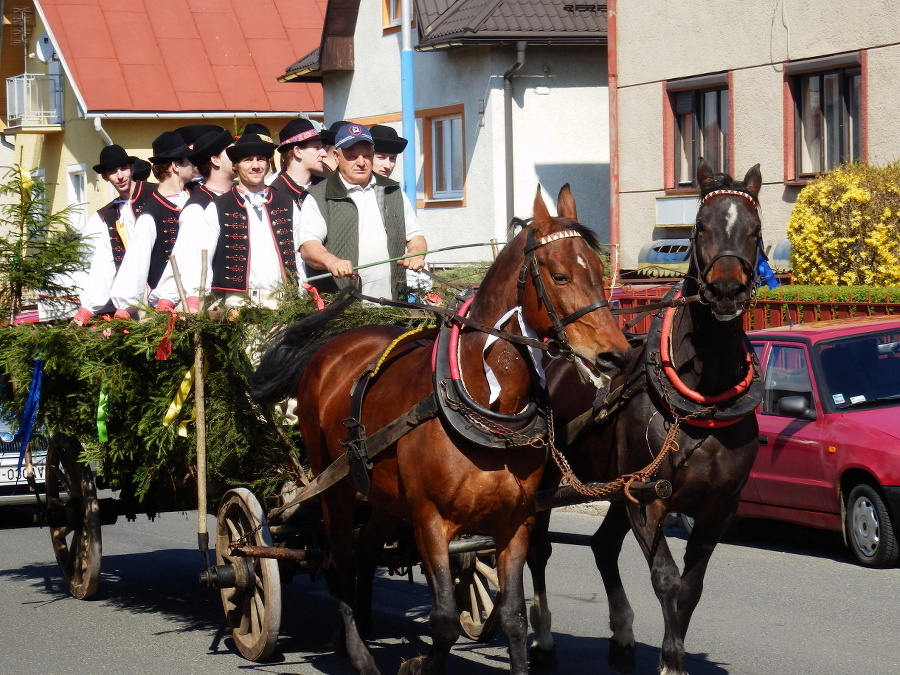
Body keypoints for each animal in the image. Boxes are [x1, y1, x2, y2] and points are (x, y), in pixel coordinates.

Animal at [253, 186, 624, 675]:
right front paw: (416, 664)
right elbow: (444, 618)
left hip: (382, 495)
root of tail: (329, 347)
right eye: (560, 275)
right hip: (333, 485)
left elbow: (512, 615)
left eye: (598, 271)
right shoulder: (430, 520)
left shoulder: (514, 522)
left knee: (365, 551)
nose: (615, 354)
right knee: (338, 561)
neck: (487, 407)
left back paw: (359, 628)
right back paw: (358, 651)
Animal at [528, 160, 768, 675]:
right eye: (700, 228)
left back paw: (621, 636)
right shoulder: (647, 501)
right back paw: (542, 637)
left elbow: (691, 588)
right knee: (536, 549)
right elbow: (666, 579)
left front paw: (669, 653)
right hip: (544, 482)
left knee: (602, 546)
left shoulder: (718, 508)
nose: (725, 290)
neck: (704, 400)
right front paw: (670, 660)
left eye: (754, 231)